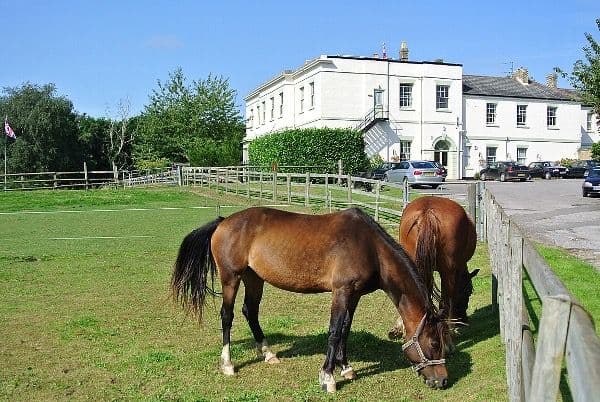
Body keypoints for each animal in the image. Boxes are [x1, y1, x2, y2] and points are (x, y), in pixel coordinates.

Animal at [171, 207, 448, 392]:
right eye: (435, 343)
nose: (443, 380)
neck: (370, 247)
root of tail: (223, 222)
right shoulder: (341, 291)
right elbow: (335, 331)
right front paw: (328, 377)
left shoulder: (354, 294)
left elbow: (346, 329)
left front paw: (345, 367)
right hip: (231, 278)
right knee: (227, 316)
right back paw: (228, 364)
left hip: (254, 278)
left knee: (250, 311)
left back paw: (268, 353)